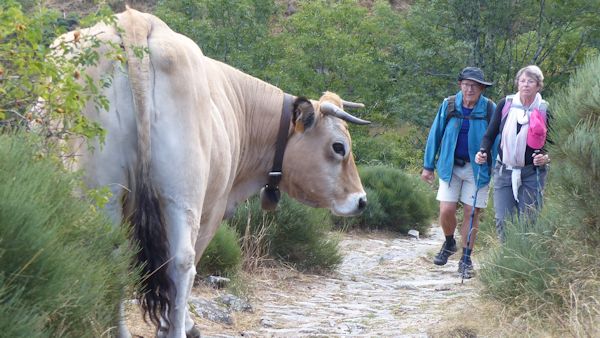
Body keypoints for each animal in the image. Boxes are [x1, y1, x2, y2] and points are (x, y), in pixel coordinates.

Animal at [54, 6, 368, 336]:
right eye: (339, 147)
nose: (361, 200)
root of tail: (135, 20)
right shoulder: (214, 208)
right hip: (183, 193)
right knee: (181, 262)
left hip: (104, 192)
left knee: (109, 254)